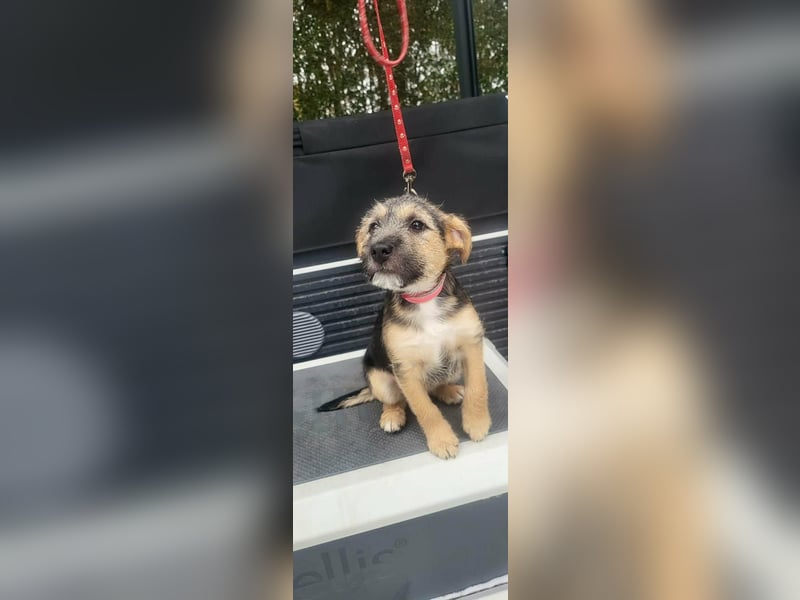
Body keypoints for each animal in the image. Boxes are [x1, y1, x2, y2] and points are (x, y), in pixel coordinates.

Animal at [317, 195, 491, 459]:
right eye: (373, 227)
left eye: (417, 225)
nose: (377, 249)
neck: (423, 299)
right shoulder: (405, 370)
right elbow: (424, 409)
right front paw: (442, 441)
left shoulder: (471, 345)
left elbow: (478, 388)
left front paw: (477, 423)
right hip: (381, 381)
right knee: (395, 400)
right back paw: (392, 416)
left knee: (436, 385)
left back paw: (449, 391)